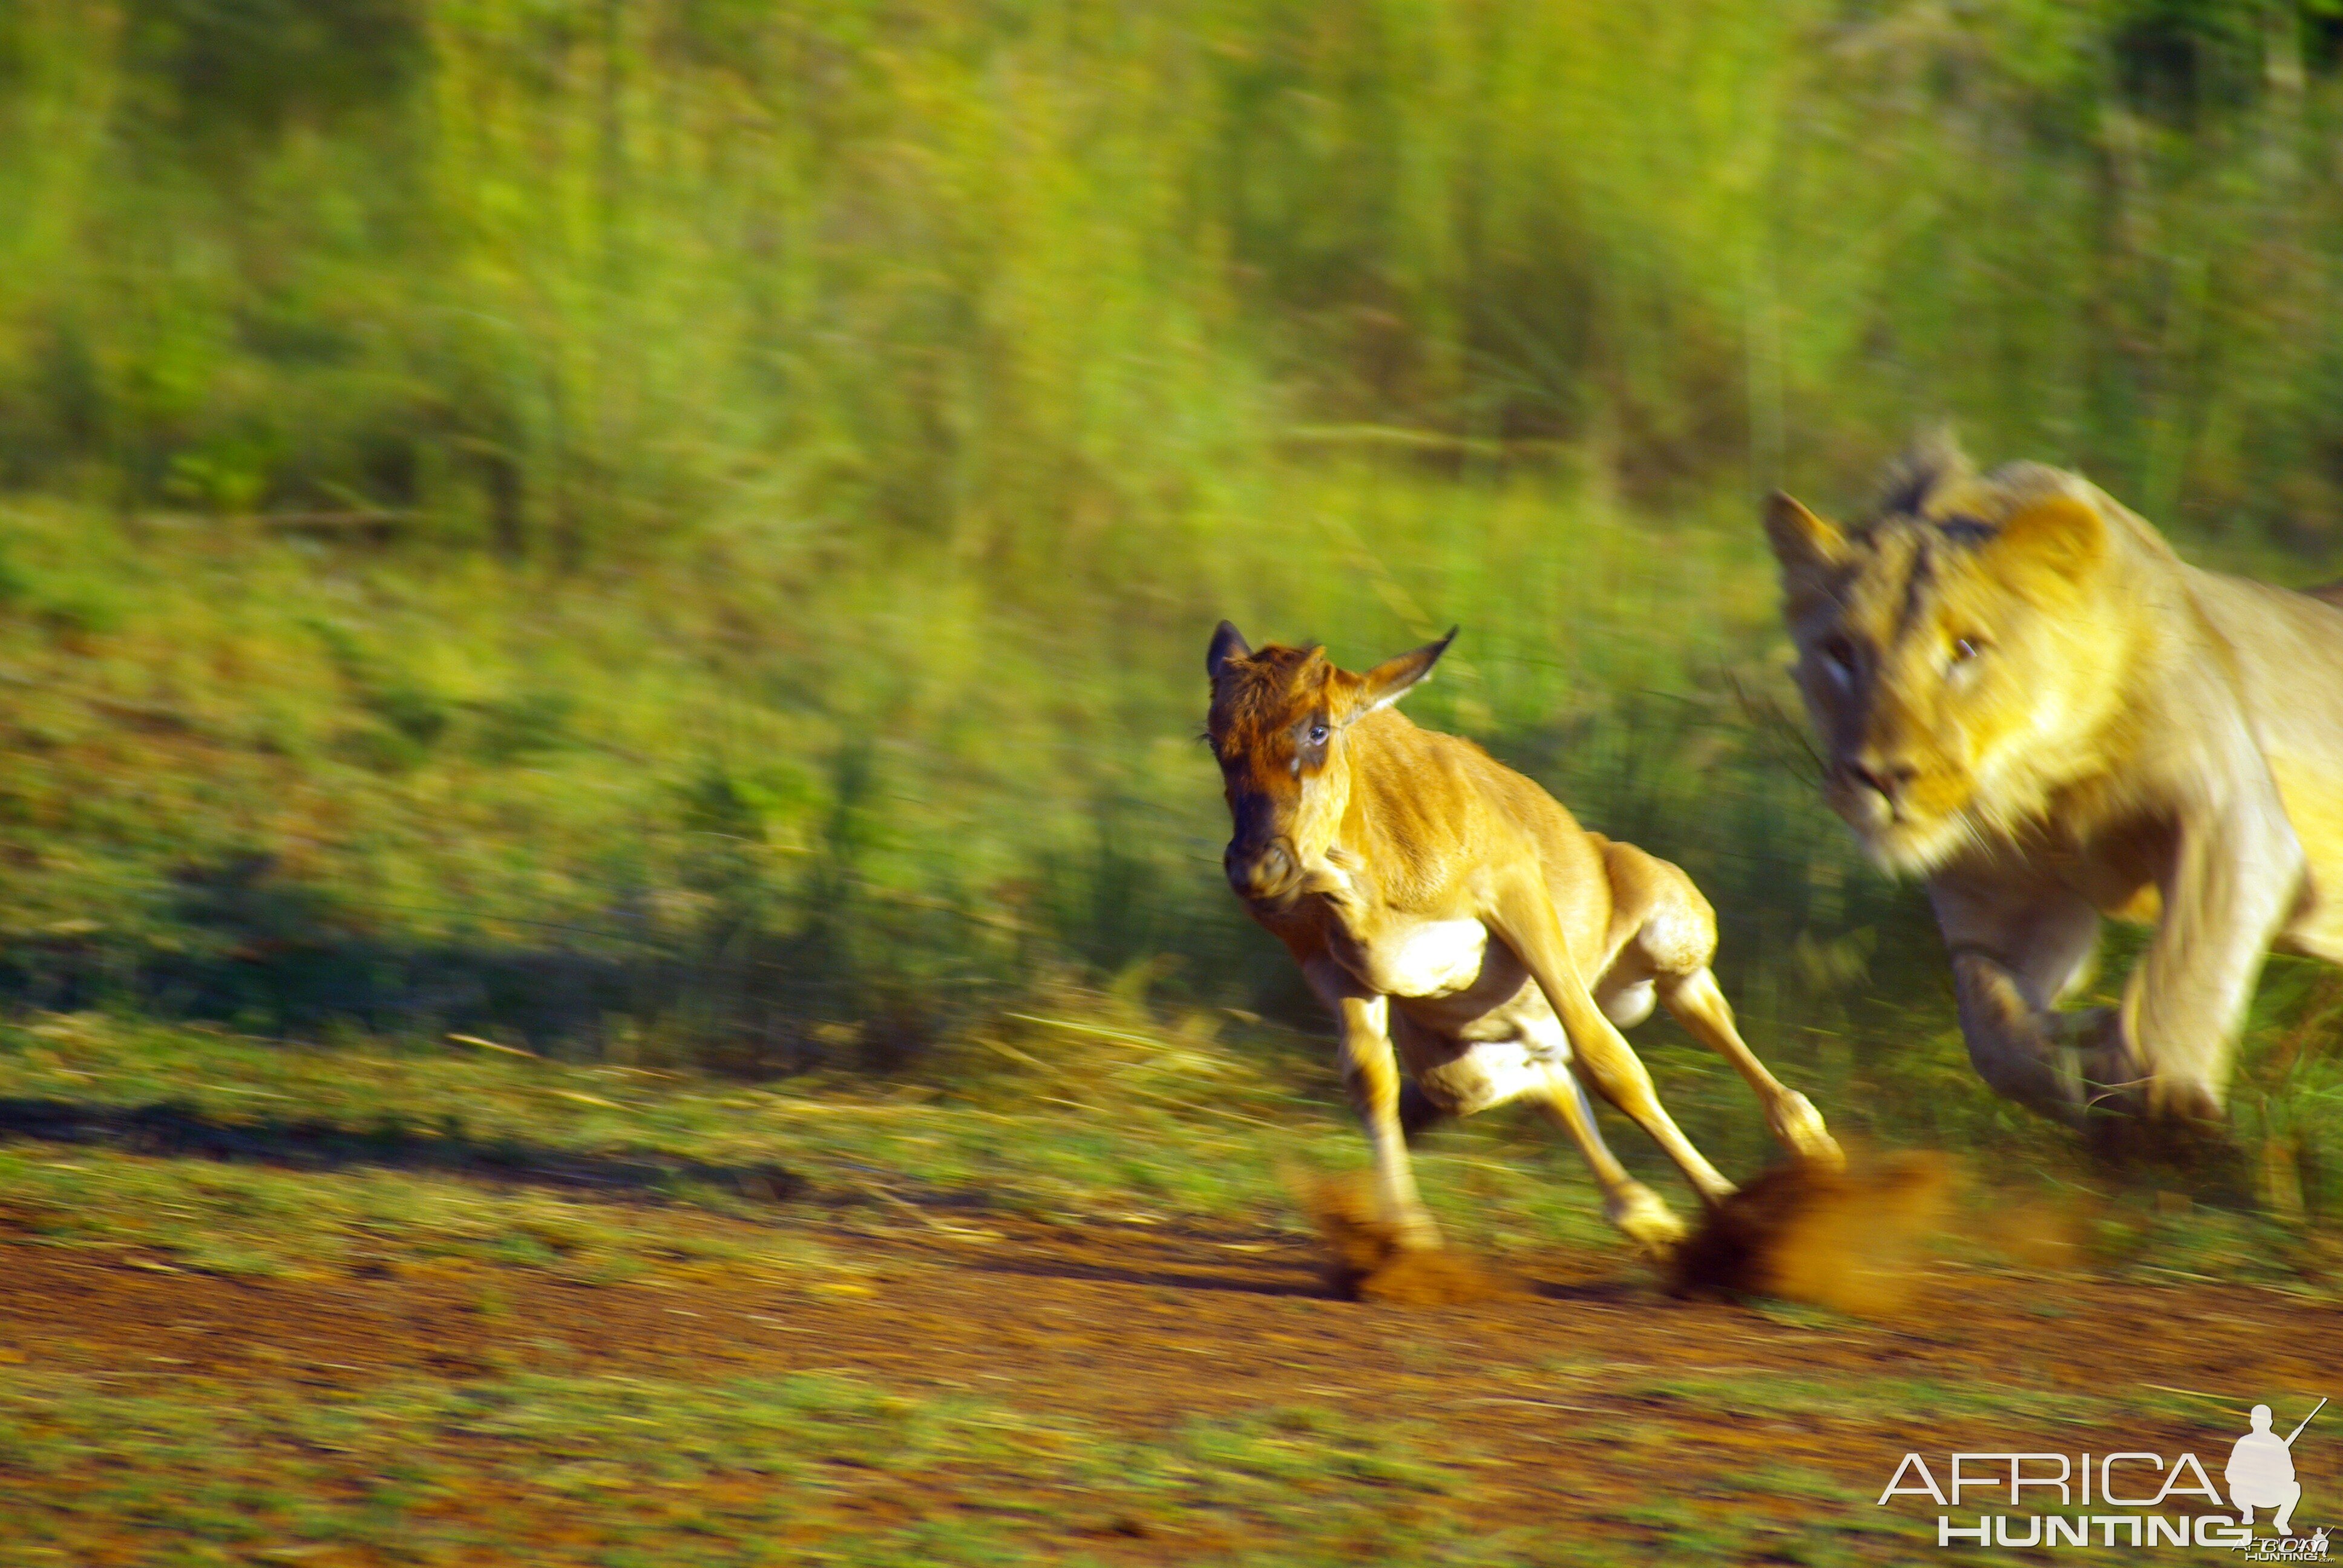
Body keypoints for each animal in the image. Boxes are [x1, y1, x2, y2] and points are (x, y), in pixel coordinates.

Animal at [1761, 438, 2343, 1125]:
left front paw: (2167, 1109)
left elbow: (2184, 970)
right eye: (1841, 653)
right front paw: (2074, 1058)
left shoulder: (2230, 810)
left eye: (1965, 650)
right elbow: (1989, 1023)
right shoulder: (1996, 890)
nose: (1880, 776)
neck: (2044, 789)